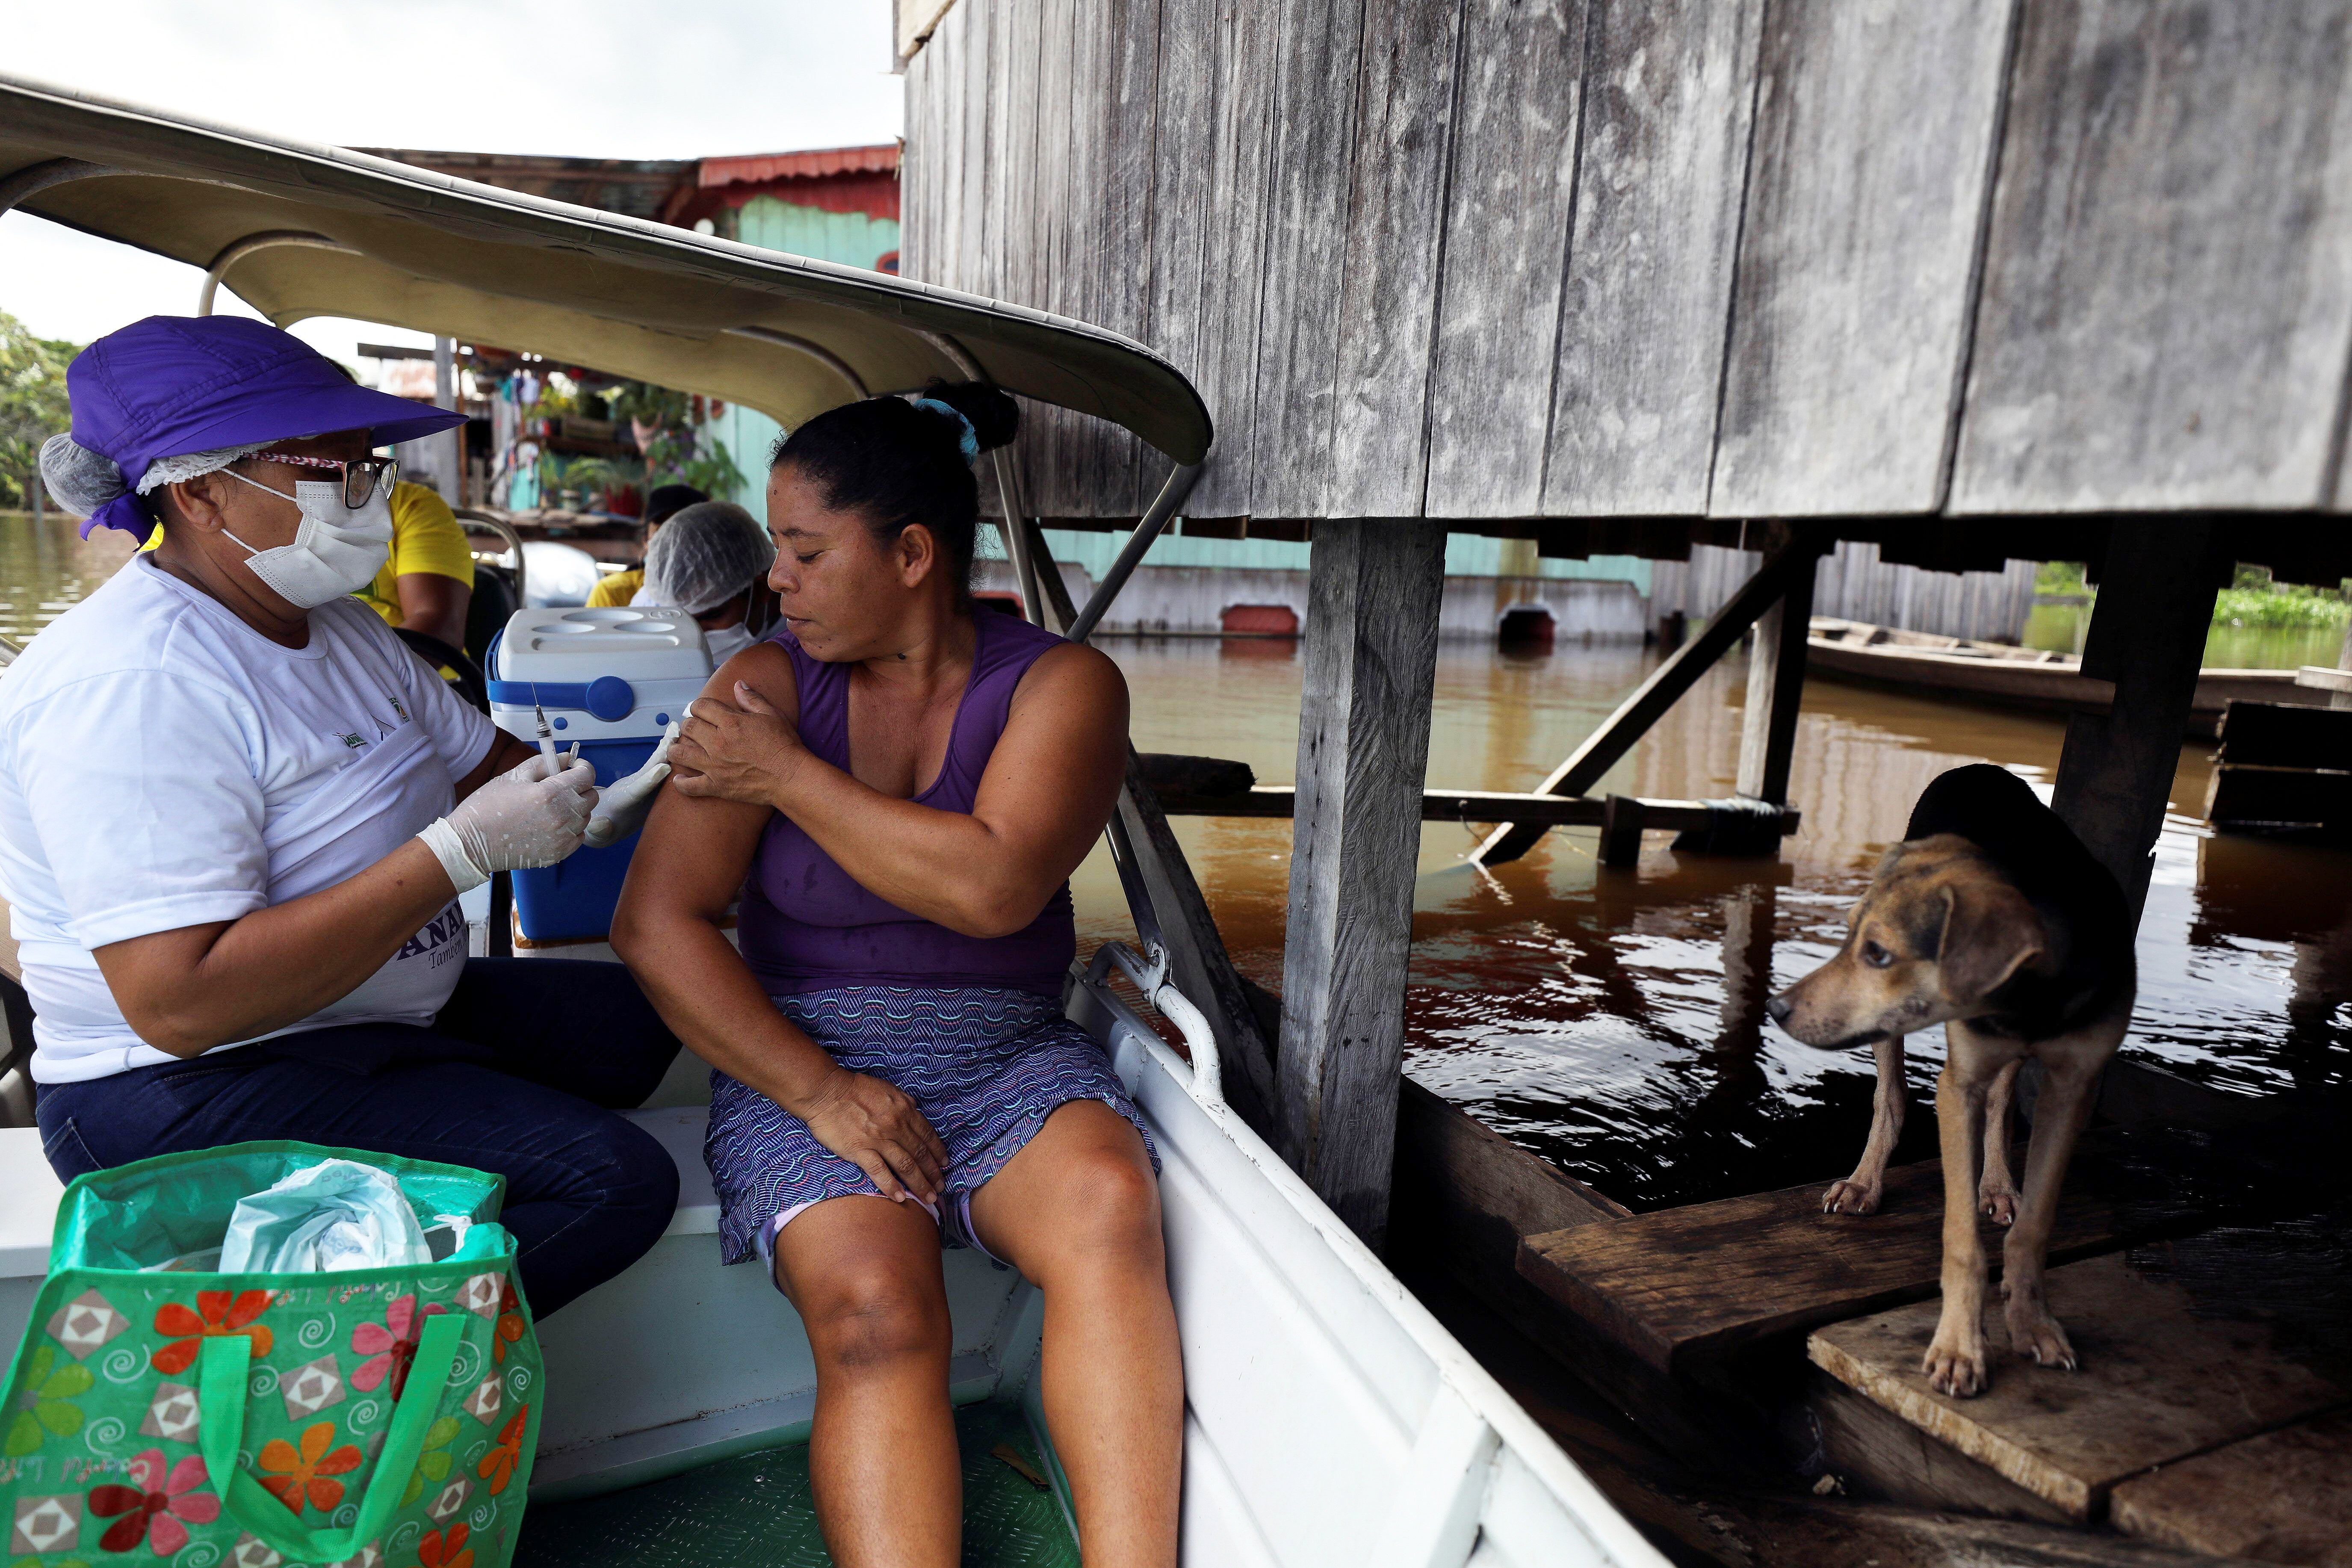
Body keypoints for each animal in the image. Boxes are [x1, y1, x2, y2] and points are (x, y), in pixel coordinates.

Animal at [1769, 766, 2136, 1391]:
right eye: (1851, 940)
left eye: (1878, 953)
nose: (1776, 1008)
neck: (2032, 997)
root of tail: (1975, 770)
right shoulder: (1957, 1083)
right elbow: (1961, 1238)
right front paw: (1961, 1346)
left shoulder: (2074, 1086)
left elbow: (2034, 1225)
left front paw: (2031, 1321)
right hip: (1894, 1029)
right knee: (1892, 1096)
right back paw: (1864, 1182)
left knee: (2002, 1100)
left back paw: (1997, 1183)